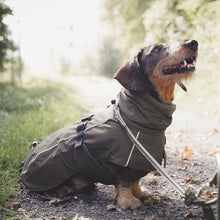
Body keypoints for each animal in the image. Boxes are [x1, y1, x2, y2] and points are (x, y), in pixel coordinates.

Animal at [21, 39, 199, 210]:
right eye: (157, 49)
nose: (193, 43)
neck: (134, 114)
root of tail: (23, 167)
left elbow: (135, 180)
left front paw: (138, 192)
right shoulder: (116, 161)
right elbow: (124, 180)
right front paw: (128, 201)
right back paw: (65, 189)